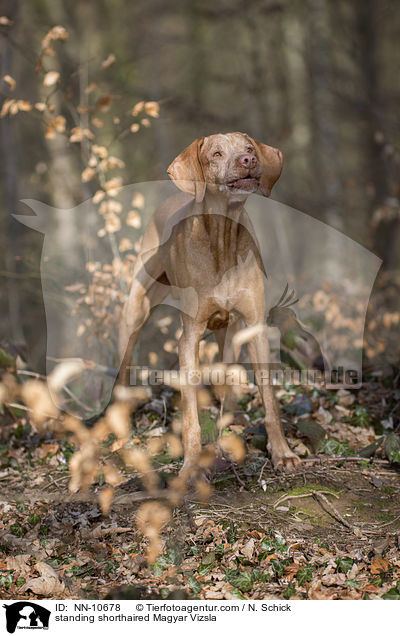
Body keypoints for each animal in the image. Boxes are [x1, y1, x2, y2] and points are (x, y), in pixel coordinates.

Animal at [120, 132, 302, 474]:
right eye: (216, 154)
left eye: (249, 149)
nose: (249, 160)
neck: (223, 238)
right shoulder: (189, 337)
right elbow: (191, 413)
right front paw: (191, 466)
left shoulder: (254, 327)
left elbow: (270, 401)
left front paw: (282, 452)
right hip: (135, 312)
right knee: (124, 366)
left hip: (229, 331)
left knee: (226, 371)